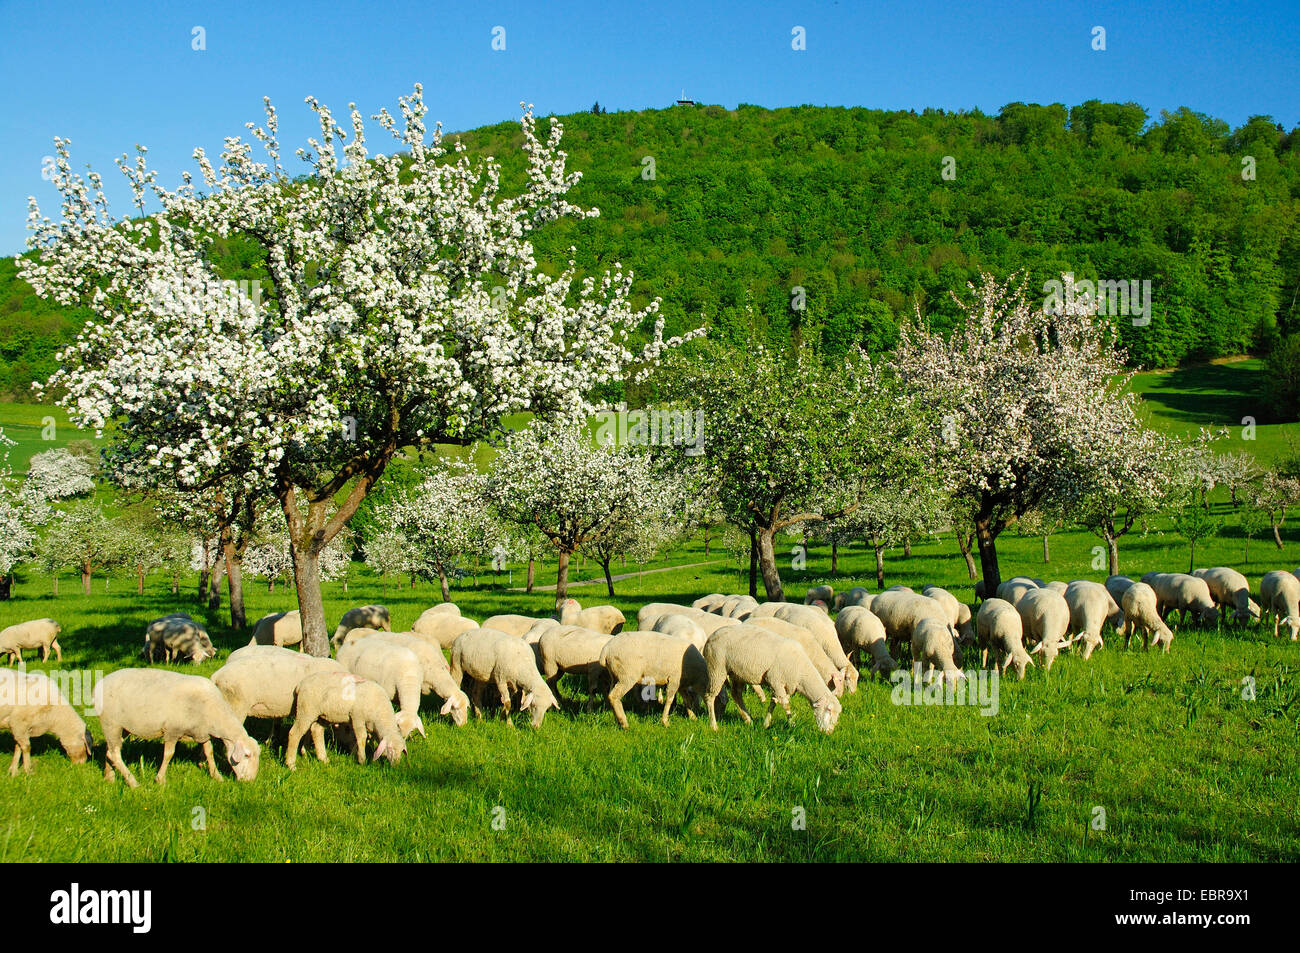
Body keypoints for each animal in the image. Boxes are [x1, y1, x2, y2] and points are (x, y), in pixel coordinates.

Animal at [94, 665, 258, 785]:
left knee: (109, 751)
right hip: (110, 723)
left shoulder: (202, 732)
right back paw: (132, 782)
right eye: (247, 755)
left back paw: (109, 778)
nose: (250, 781)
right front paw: (160, 779)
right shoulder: (172, 731)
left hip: (121, 727)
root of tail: (100, 684)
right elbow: (169, 754)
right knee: (114, 753)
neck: (214, 713)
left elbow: (209, 752)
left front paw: (216, 776)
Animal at [702, 629, 842, 733]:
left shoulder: (782, 684)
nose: (829, 732)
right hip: (716, 668)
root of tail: (711, 636)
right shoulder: (775, 680)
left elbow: (773, 703)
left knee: (736, 694)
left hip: (737, 673)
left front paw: (766, 724)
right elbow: (785, 704)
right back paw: (713, 725)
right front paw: (792, 724)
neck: (801, 673)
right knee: (709, 696)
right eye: (829, 710)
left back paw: (748, 720)